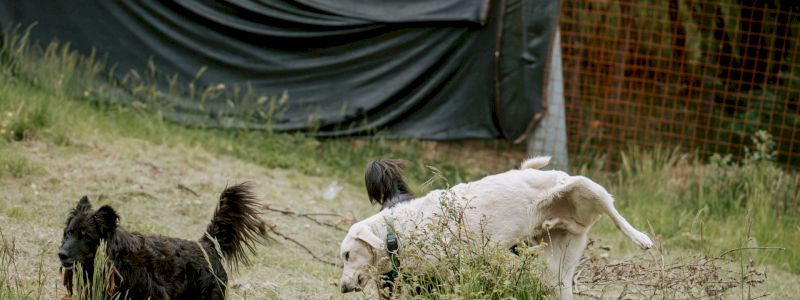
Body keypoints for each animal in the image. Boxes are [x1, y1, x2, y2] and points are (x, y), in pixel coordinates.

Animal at [334, 156, 652, 298]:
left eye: (348, 255)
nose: (342, 287)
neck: (396, 232)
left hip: (587, 187)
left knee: (614, 211)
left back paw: (641, 238)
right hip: (557, 264)